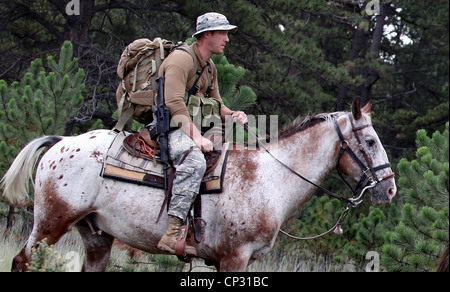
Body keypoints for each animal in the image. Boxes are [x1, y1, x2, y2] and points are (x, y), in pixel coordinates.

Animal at [0, 98, 394, 272]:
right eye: (370, 141)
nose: (389, 189)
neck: (269, 179)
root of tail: (61, 142)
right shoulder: (234, 258)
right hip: (50, 224)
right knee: (22, 260)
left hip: (96, 236)